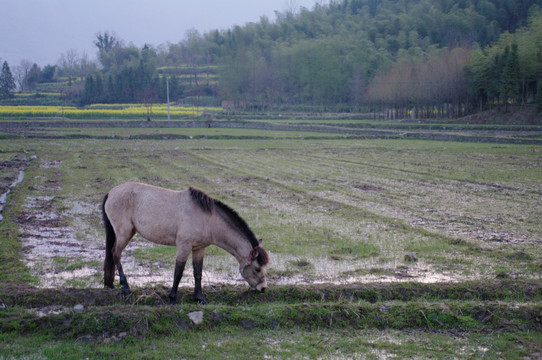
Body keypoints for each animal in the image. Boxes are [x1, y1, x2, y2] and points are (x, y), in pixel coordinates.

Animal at [102, 183, 270, 304]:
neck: (208, 219)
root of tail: (111, 192)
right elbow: (179, 272)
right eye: (257, 268)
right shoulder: (184, 246)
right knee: (115, 254)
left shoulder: (199, 248)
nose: (263, 288)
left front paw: (199, 298)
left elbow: (198, 273)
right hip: (124, 233)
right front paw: (173, 298)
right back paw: (125, 287)